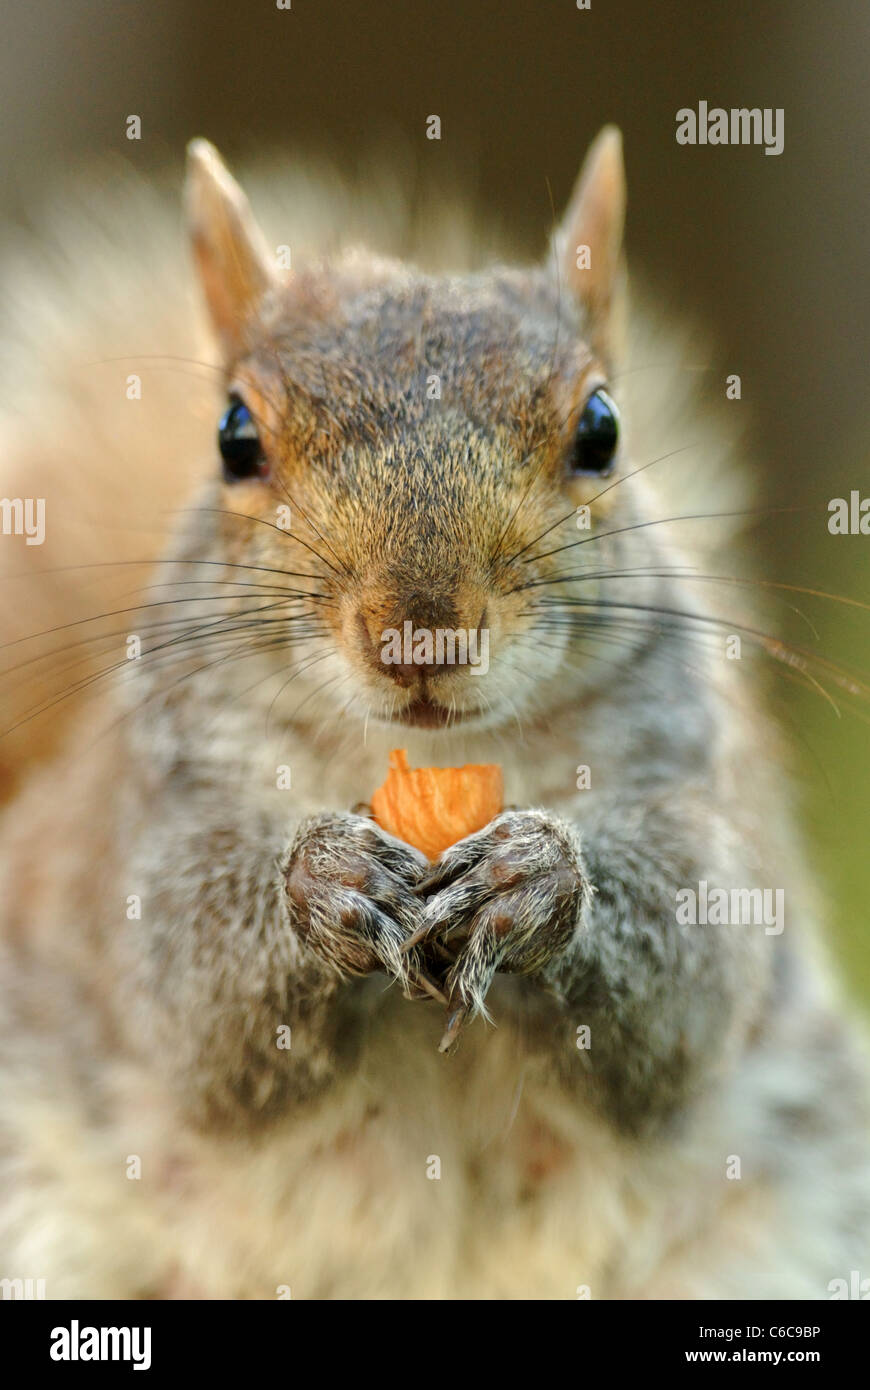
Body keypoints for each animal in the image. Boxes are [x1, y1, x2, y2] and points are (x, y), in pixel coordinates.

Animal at [1, 132, 867, 1301]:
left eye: (602, 429)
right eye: (234, 436)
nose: (421, 631)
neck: (428, 755)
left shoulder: (692, 783)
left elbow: (688, 985)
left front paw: (537, 877)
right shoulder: (153, 818)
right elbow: (194, 1002)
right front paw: (323, 878)